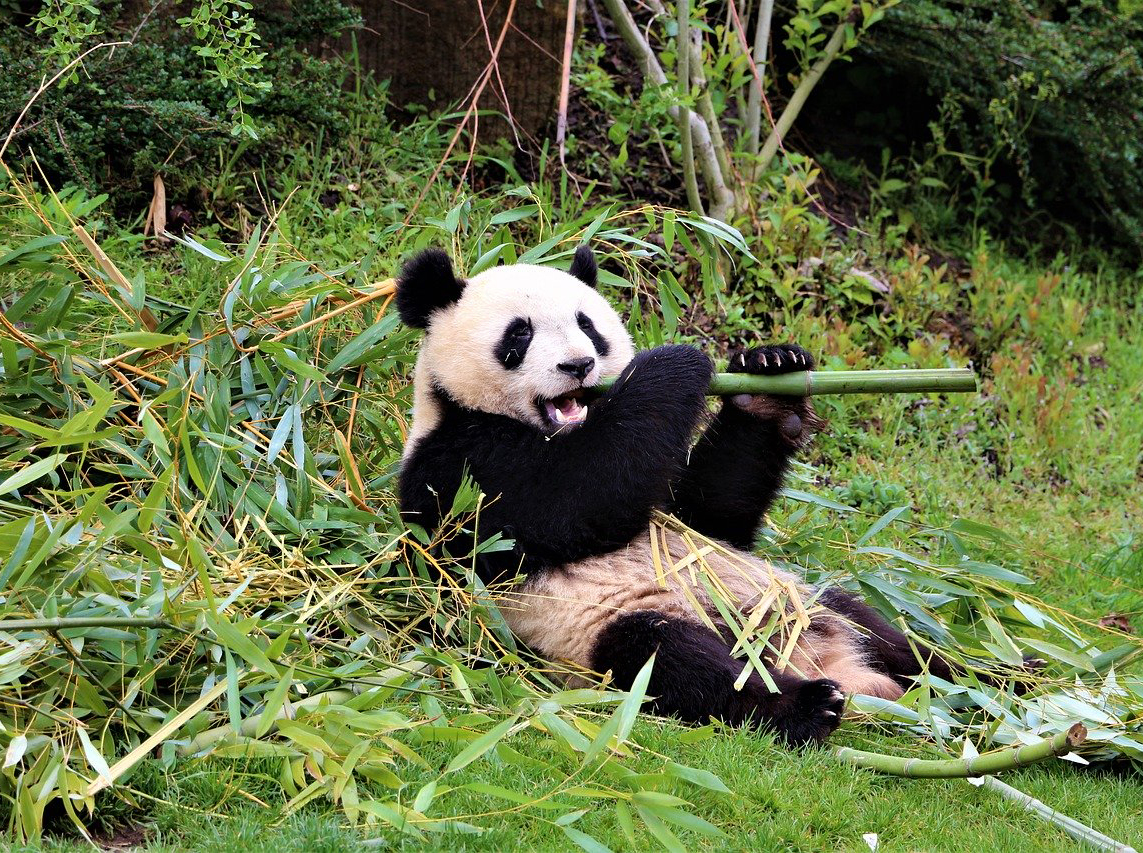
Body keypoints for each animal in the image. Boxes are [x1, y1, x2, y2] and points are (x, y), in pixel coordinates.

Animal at [397, 242, 960, 740]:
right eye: (519, 334)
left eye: (588, 326)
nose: (578, 366)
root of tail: (842, 670)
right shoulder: (459, 463)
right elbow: (573, 499)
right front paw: (673, 363)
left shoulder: (684, 512)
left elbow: (709, 515)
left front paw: (769, 376)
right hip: (605, 630)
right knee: (676, 662)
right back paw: (808, 705)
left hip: (794, 596)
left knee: (886, 633)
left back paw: (971, 678)